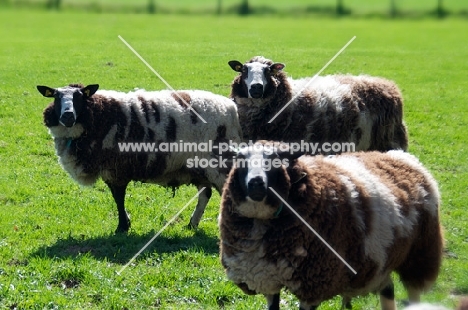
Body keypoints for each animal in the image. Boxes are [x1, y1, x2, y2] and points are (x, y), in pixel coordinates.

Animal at [37, 83, 241, 234]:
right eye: (55, 97)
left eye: (80, 96)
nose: (67, 116)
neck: (99, 115)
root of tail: (231, 108)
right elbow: (117, 197)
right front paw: (125, 223)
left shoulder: (115, 168)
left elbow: (118, 197)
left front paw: (122, 227)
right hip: (200, 167)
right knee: (205, 194)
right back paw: (192, 224)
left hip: (219, 162)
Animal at [219, 141, 442, 310]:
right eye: (240, 160)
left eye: (277, 161)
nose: (256, 183)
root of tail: (403, 157)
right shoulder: (268, 278)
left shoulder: (314, 285)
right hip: (379, 262)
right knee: (388, 289)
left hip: (421, 254)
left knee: (413, 291)